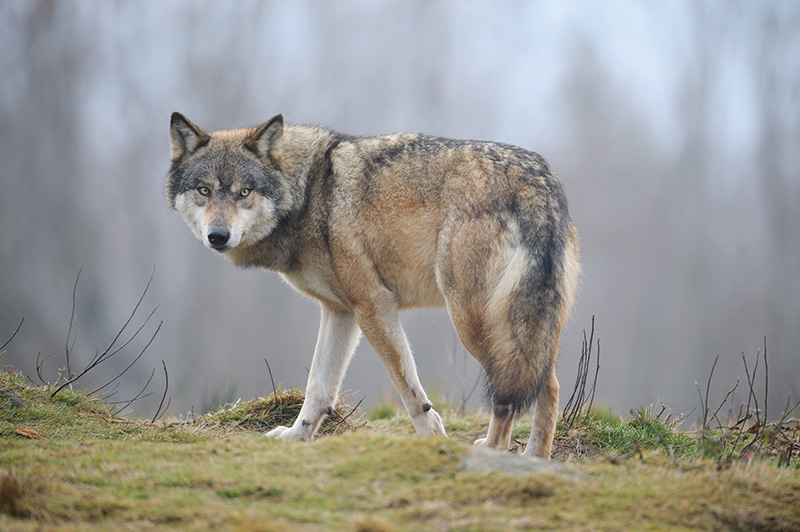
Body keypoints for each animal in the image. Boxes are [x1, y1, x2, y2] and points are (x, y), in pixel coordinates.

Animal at [166, 112, 580, 458]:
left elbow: (411, 392)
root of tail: (537, 182)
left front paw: (433, 441)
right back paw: (535, 458)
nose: (218, 236)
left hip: (473, 321)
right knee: (550, 384)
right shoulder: (340, 312)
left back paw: (493, 453)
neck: (309, 194)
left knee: (511, 394)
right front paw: (297, 437)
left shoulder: (373, 304)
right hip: (528, 325)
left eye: (243, 192)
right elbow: (319, 386)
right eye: (204, 191)